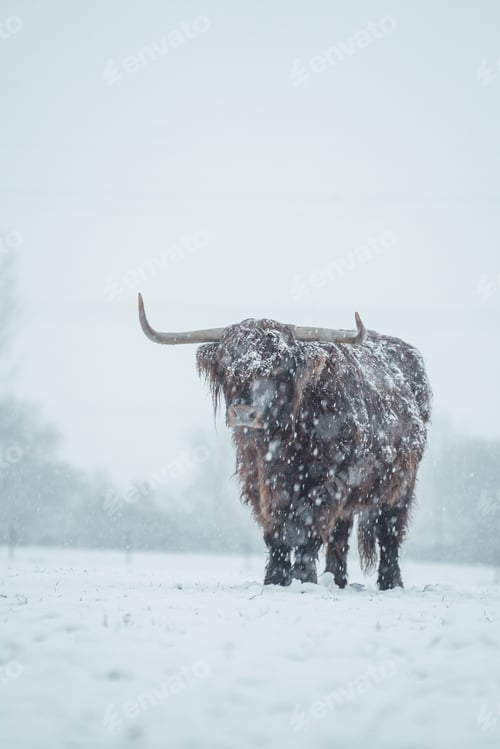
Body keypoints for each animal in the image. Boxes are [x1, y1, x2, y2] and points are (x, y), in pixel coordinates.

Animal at [138, 293, 431, 589]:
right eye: (227, 366)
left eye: (277, 368)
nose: (243, 412)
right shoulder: (260, 481)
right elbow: (276, 529)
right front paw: (275, 579)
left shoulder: (328, 482)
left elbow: (307, 528)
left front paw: (304, 579)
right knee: (340, 534)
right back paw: (335, 579)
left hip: (401, 484)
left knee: (388, 531)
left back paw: (390, 582)